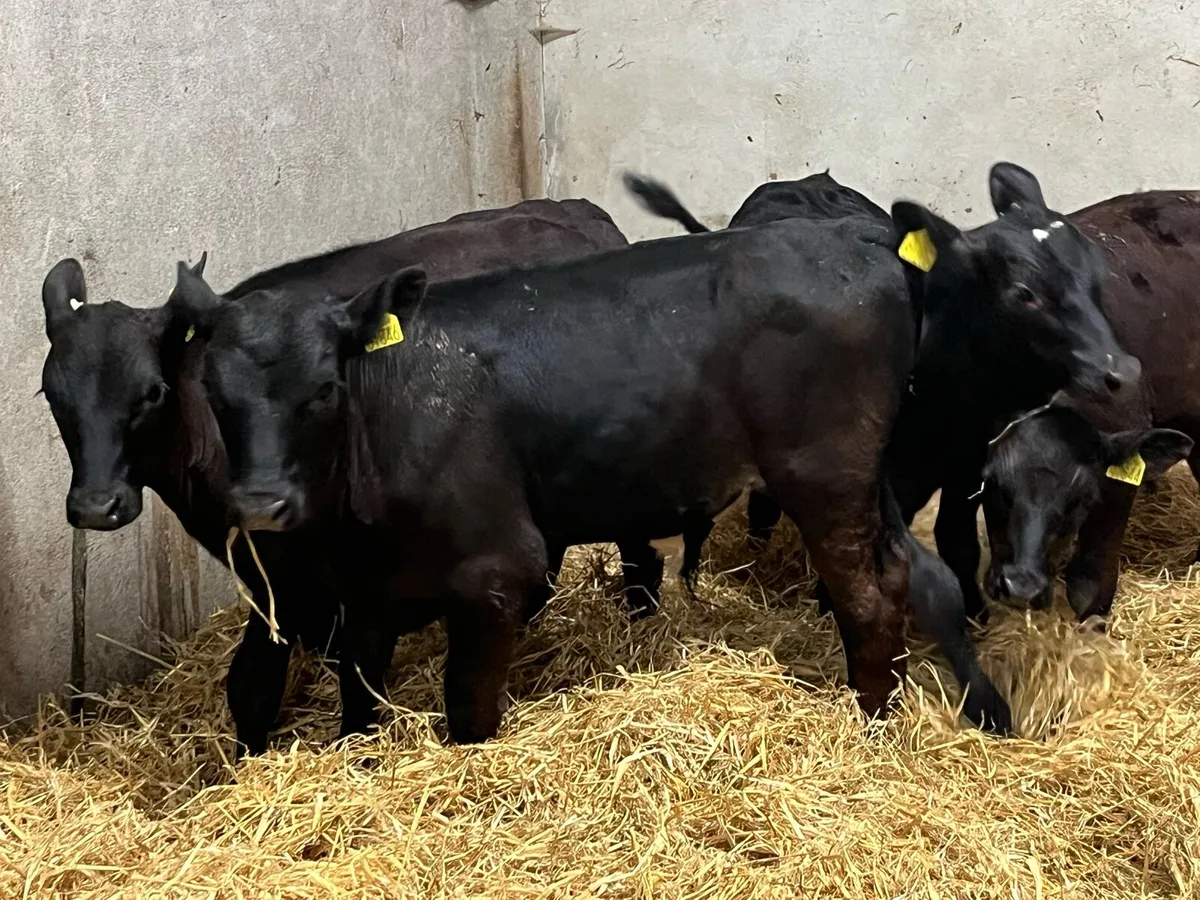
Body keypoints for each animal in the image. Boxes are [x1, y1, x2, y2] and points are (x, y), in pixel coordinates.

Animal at [39, 197, 633, 756]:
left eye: (151, 393)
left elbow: (265, 679)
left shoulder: (303, 571)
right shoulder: (275, 573)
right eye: (51, 393)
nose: (96, 506)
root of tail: (570, 209)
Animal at [168, 162, 1121, 747]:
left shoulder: (496, 572)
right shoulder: (358, 601)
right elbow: (355, 706)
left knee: (871, 592)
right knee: (916, 580)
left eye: (324, 389)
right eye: (213, 394)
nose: (260, 504)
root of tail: (857, 242)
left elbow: (468, 712)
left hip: (827, 473)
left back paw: (871, 721)